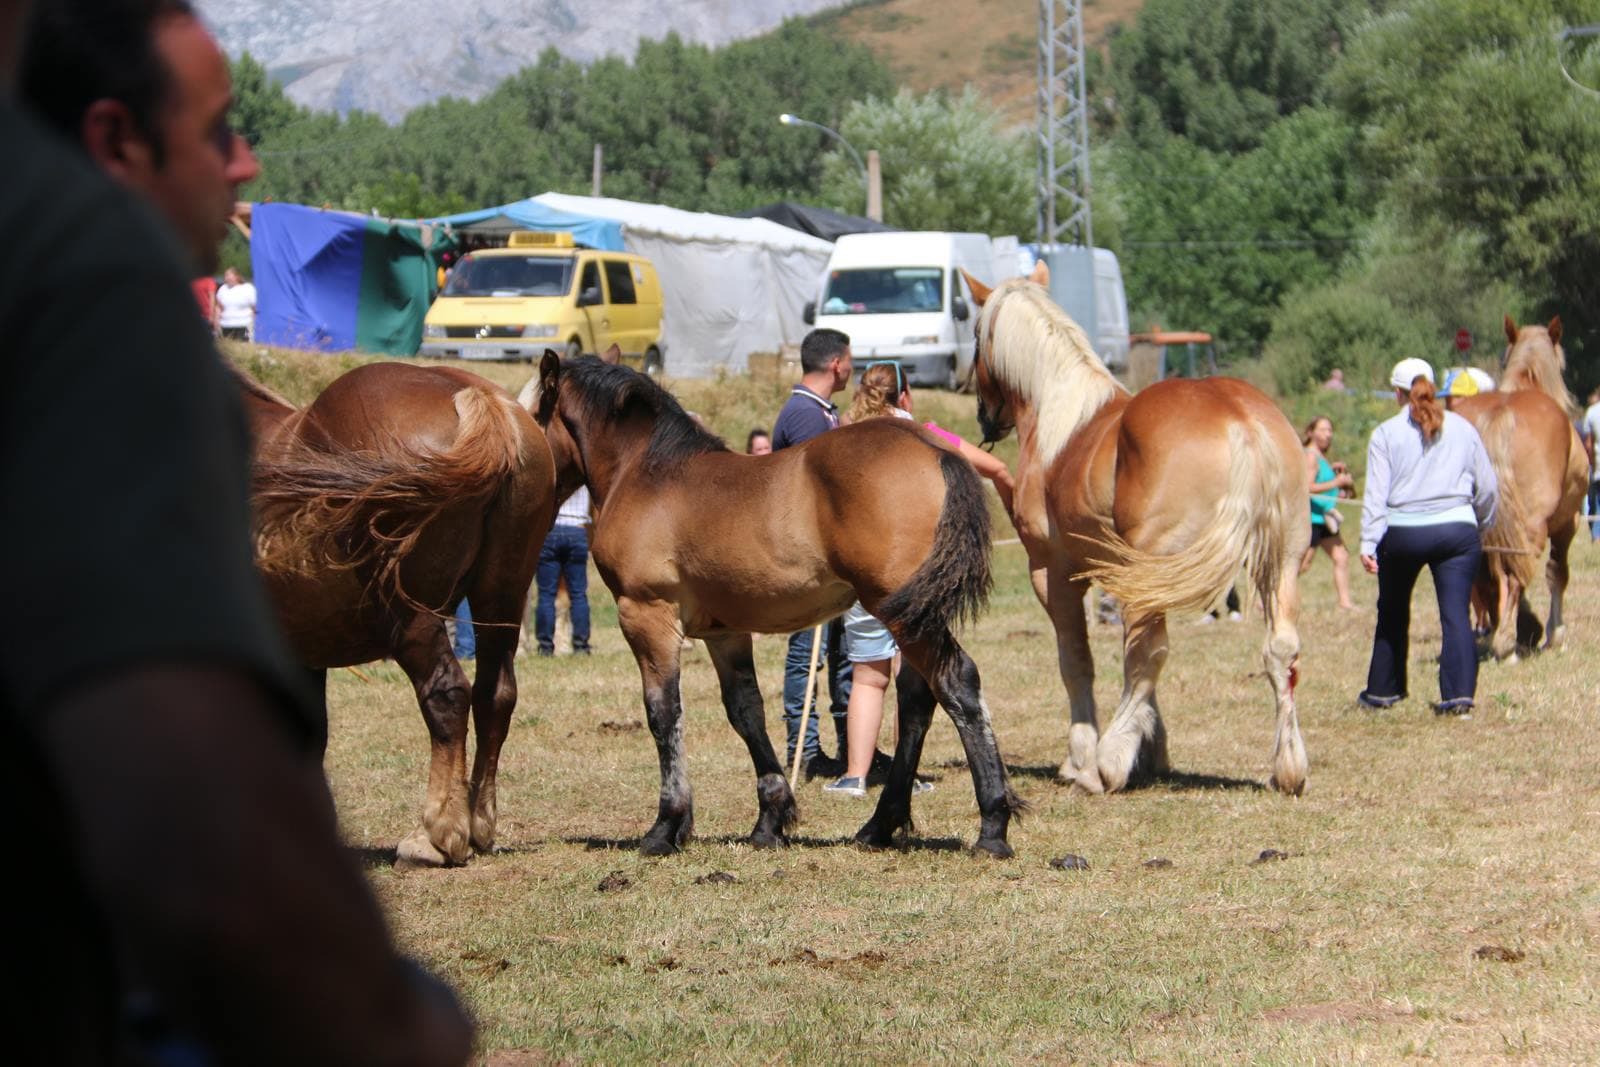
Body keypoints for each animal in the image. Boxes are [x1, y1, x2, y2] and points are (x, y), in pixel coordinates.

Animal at [243, 364, 556, 870]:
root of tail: (479, 400)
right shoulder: (303, 654)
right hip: (502, 599)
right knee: (495, 694)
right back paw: (478, 824)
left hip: (413, 616)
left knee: (447, 694)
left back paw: (438, 834)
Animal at [521, 355, 1024, 857]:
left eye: (531, 413)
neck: (648, 475)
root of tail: (934, 449)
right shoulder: (725, 631)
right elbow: (746, 711)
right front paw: (770, 820)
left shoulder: (647, 615)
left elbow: (663, 714)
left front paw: (666, 826)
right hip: (912, 614)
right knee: (919, 698)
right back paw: (880, 825)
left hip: (902, 612)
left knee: (956, 682)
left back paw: (991, 826)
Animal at [960, 265, 1312, 799]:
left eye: (977, 336)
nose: (984, 415)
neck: (1060, 412)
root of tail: (1240, 420)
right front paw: (1149, 749)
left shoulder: (1054, 572)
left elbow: (1077, 661)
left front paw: (1083, 758)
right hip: (1280, 565)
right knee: (1279, 651)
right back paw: (1288, 766)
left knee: (1148, 654)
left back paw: (1105, 763)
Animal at [1452, 313, 1587, 659]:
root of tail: (1501, 413)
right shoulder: (1568, 523)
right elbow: (1557, 573)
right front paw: (1555, 633)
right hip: (1532, 525)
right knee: (1514, 575)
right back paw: (1508, 642)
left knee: (1484, 573)